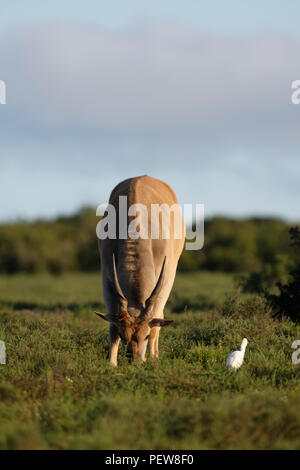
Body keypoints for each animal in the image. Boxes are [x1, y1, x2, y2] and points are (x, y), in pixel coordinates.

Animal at [96, 174, 185, 366]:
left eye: (145, 336)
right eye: (123, 335)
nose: (135, 360)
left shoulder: (166, 276)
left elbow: (156, 320)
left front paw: (152, 359)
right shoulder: (106, 274)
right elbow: (111, 324)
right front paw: (111, 363)